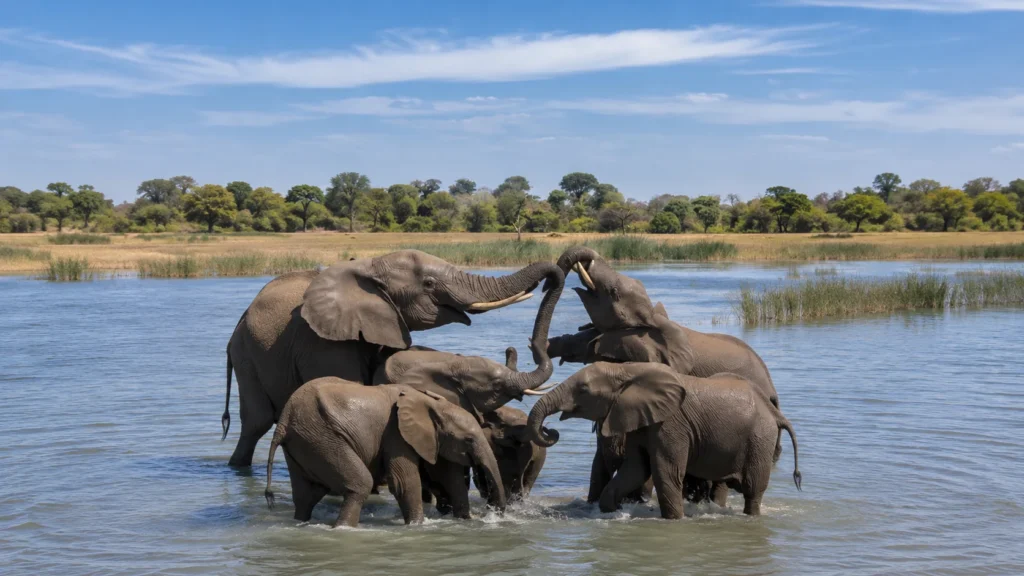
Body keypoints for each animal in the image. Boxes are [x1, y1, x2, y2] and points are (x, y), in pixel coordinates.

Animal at [222, 249, 562, 467]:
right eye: (429, 284)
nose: (551, 279)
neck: (370, 266)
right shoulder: (320, 340)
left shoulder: (384, 323)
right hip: (245, 353)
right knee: (257, 421)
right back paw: (238, 467)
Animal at [264, 377, 506, 527]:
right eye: (469, 439)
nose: (495, 514)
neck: (431, 402)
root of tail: (284, 420)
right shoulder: (396, 433)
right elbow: (404, 481)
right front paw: (418, 526)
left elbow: (448, 476)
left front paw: (464, 520)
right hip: (323, 438)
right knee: (360, 484)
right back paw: (343, 528)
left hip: (302, 444)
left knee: (306, 495)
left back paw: (301, 522)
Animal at [524, 362, 801, 518]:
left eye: (583, 390)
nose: (550, 430)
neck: (629, 370)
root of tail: (774, 412)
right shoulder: (638, 420)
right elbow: (635, 469)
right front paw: (612, 511)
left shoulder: (670, 425)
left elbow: (665, 472)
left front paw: (674, 521)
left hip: (760, 439)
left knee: (753, 489)